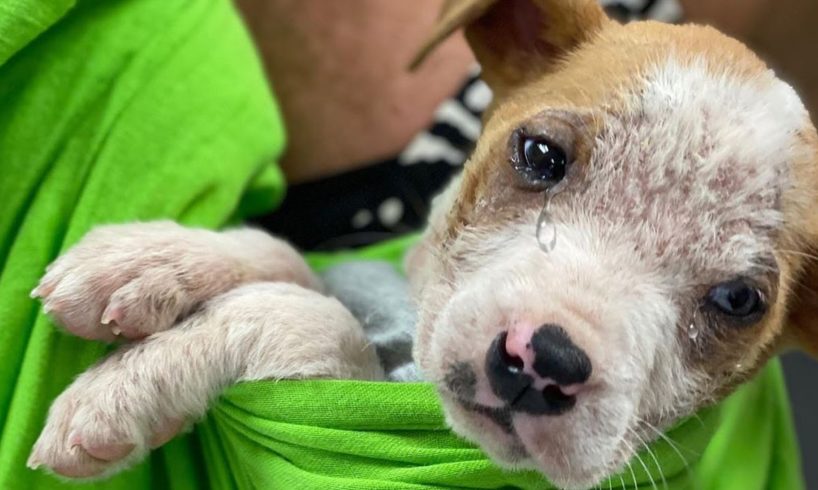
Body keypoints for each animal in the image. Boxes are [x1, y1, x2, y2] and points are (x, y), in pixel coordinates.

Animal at [25, 1, 816, 488]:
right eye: (540, 155)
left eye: (739, 300)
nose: (544, 361)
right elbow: (293, 261)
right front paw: (152, 261)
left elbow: (313, 319)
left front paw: (134, 383)